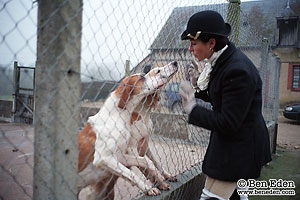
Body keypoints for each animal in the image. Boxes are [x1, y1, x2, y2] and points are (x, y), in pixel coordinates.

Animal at [77, 61, 179, 199]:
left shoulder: (121, 156)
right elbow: (133, 173)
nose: (175, 62)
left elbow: (148, 162)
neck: (116, 116)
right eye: (142, 78)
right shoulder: (105, 158)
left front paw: (159, 178)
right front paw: (148, 188)